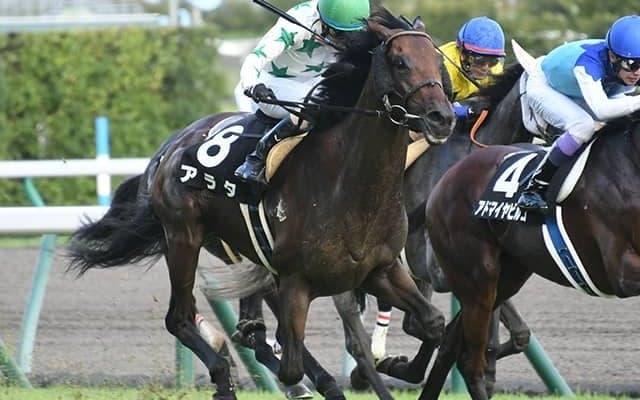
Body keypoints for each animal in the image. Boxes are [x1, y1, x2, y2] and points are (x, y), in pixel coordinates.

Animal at [67, 7, 455, 400]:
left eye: (438, 61)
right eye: (399, 62)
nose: (443, 117)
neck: (348, 186)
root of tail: (170, 149)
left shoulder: (380, 269)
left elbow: (433, 322)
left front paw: (394, 366)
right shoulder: (296, 281)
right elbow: (293, 361)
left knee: (244, 328)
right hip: (183, 237)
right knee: (181, 318)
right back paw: (223, 373)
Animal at [421, 105, 640, 399]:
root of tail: (446, 178)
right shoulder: (622, 270)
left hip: (505, 278)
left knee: (450, 345)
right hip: (477, 279)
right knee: (470, 362)